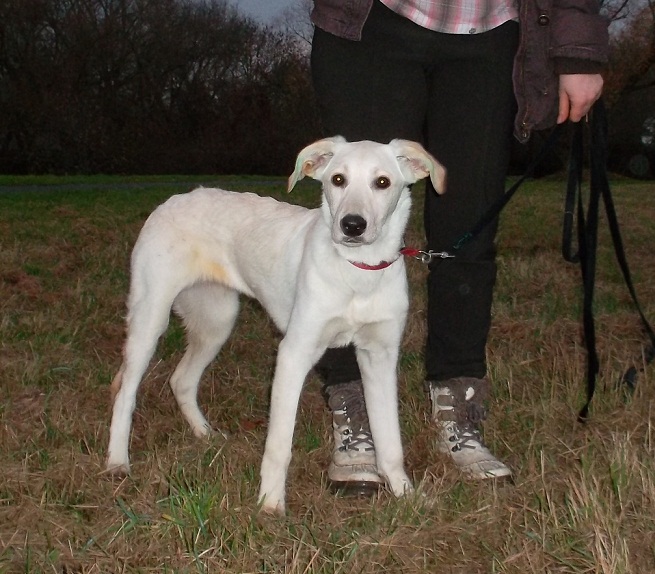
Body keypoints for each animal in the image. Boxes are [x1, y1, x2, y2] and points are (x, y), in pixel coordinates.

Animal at [106, 136, 445, 513]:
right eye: (338, 180)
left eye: (382, 182)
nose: (352, 225)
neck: (359, 271)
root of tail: (172, 200)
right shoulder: (293, 353)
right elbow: (279, 446)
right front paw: (269, 504)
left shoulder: (380, 356)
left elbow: (390, 443)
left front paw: (406, 494)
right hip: (150, 318)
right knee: (124, 391)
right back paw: (117, 461)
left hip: (217, 321)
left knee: (181, 380)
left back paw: (205, 435)